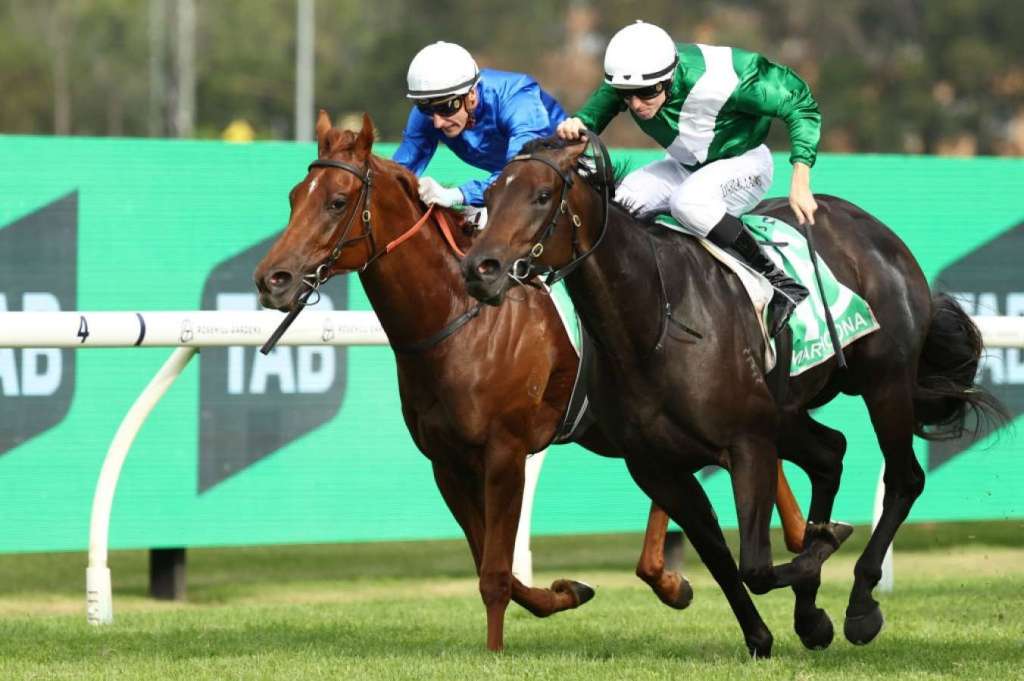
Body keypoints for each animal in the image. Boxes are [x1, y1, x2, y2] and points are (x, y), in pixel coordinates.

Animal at [253, 111, 807, 651]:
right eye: (294, 197)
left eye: (337, 201)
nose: (271, 279)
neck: (459, 318)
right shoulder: (446, 461)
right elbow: (493, 566)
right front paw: (566, 592)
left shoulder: (506, 449)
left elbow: (496, 572)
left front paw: (496, 651)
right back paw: (698, 570)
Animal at [460, 135, 1006, 657]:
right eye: (489, 196)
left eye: (541, 195)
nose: (479, 269)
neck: (653, 324)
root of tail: (875, 231)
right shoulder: (656, 467)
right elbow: (722, 560)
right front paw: (768, 632)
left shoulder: (747, 444)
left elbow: (756, 566)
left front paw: (825, 550)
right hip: (788, 409)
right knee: (831, 453)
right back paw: (812, 605)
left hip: (884, 381)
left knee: (904, 478)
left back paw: (859, 605)